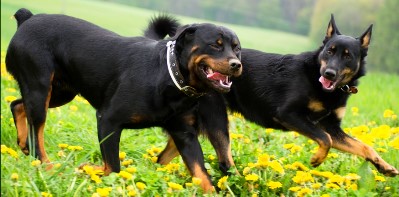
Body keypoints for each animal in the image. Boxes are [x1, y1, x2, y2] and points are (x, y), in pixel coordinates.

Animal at [7, 8, 244, 192]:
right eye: (215, 45)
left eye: (237, 49)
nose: (236, 64)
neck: (170, 77)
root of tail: (28, 18)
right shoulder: (108, 120)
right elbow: (113, 166)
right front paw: (91, 171)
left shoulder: (184, 134)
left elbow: (202, 175)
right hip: (39, 87)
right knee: (36, 133)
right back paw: (48, 166)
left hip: (61, 92)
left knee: (17, 105)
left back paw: (23, 146)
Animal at [147, 14, 399, 176]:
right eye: (329, 51)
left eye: (348, 56)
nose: (328, 73)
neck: (319, 82)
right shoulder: (290, 115)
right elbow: (325, 140)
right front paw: (317, 159)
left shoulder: (331, 126)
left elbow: (364, 147)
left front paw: (384, 167)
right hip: (218, 120)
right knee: (225, 162)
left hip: (191, 127)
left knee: (162, 159)